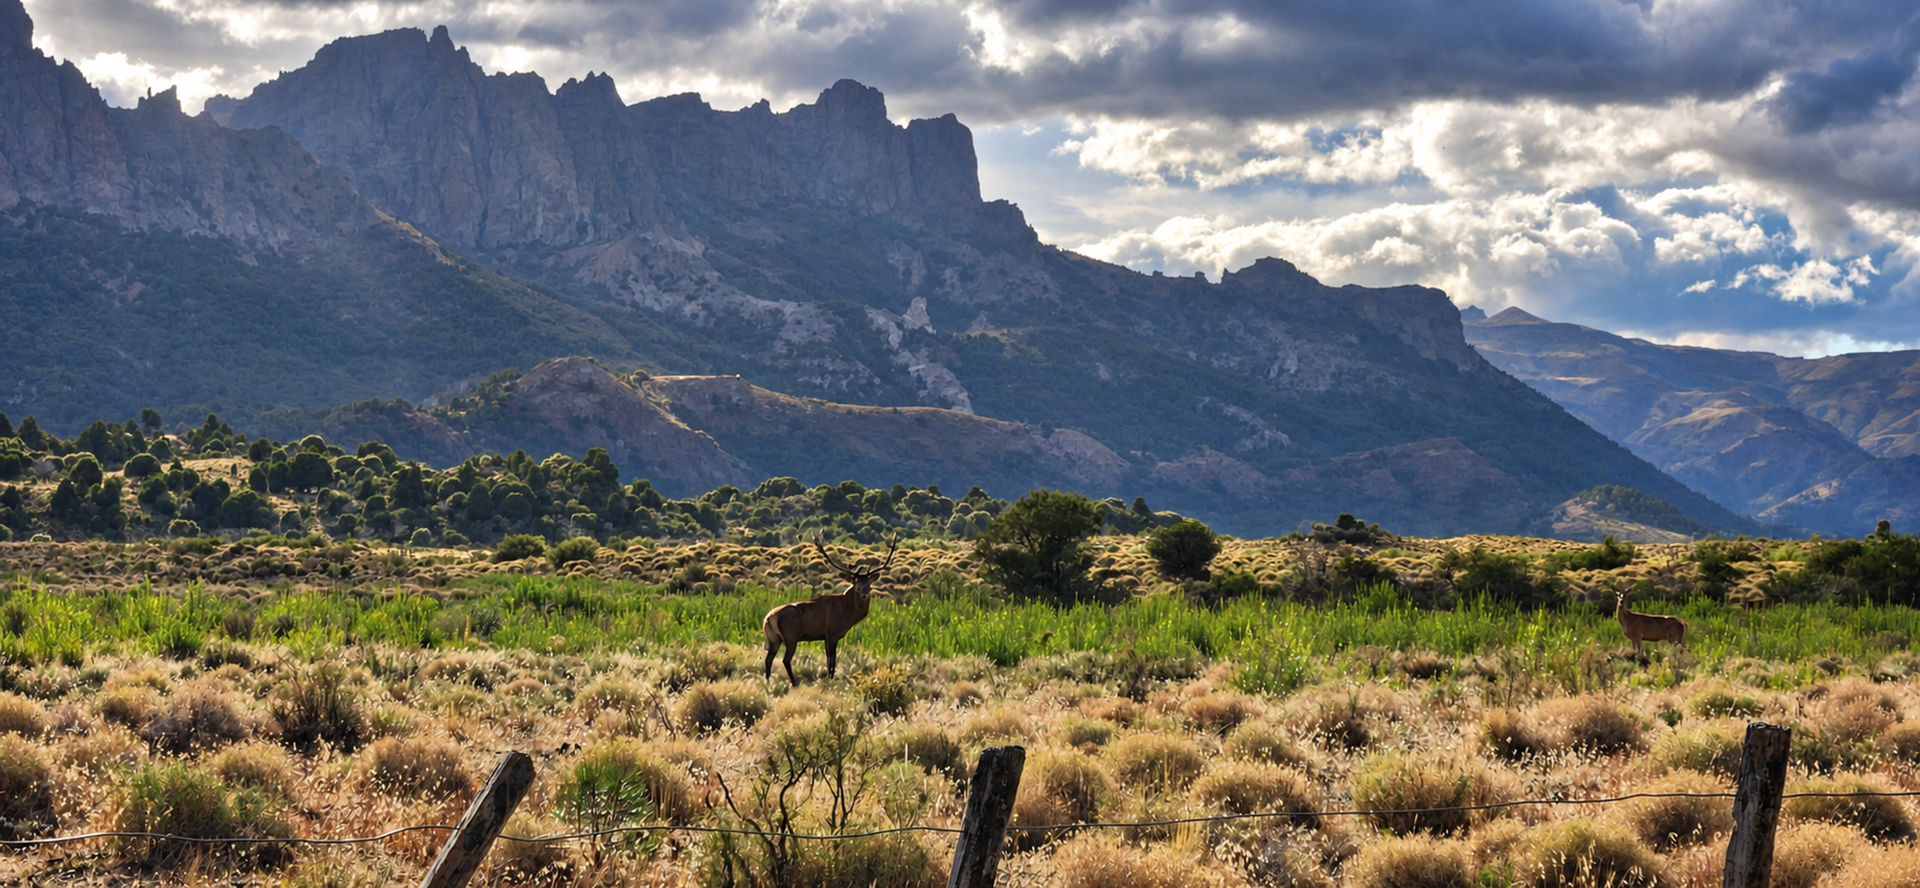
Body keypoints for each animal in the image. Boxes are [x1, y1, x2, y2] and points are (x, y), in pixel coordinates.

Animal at [762, 533, 900, 686]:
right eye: (856, 584)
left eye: (869, 584)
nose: (864, 593)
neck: (848, 614)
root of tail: (768, 618)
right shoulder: (832, 633)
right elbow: (831, 661)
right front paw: (830, 679)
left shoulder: (826, 636)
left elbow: (830, 660)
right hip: (791, 636)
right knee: (785, 660)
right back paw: (794, 682)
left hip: (773, 639)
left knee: (768, 659)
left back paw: (767, 682)